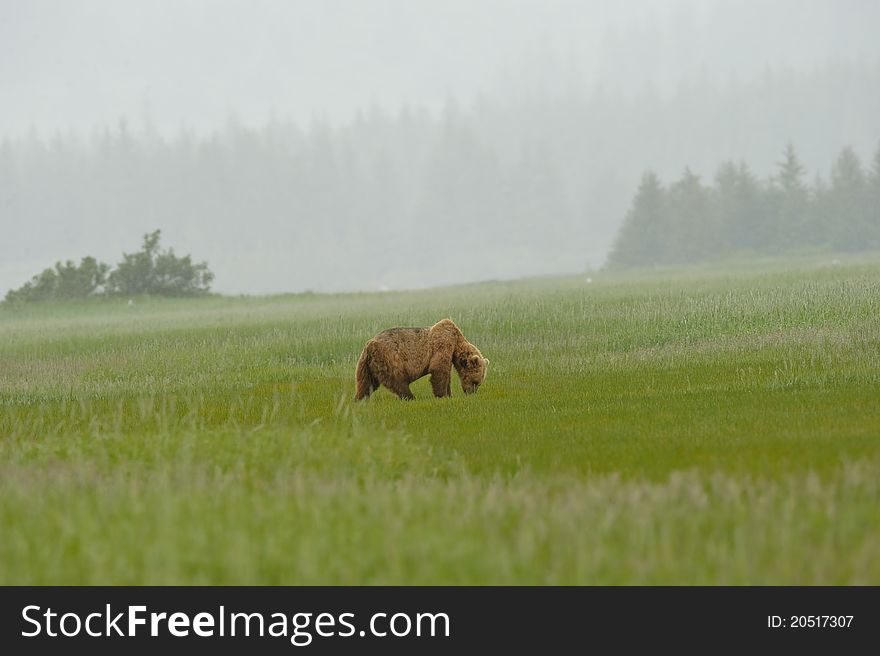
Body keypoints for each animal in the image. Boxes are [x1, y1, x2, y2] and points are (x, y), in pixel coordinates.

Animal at [354, 318, 488, 400]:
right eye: (475, 381)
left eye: (479, 383)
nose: (471, 393)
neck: (457, 341)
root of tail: (369, 344)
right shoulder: (443, 344)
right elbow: (439, 370)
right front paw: (442, 395)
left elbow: (446, 374)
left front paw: (449, 394)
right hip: (390, 357)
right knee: (397, 379)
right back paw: (410, 397)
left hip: (366, 364)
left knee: (366, 382)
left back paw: (360, 399)